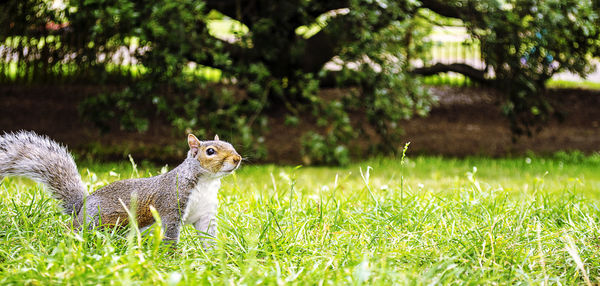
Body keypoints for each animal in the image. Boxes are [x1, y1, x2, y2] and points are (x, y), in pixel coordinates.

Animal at [0, 131, 241, 245]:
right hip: (95, 221)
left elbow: (208, 236)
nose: (237, 159)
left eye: (231, 145)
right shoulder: (171, 205)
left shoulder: (205, 214)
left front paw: (214, 256)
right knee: (75, 230)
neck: (206, 182)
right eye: (210, 151)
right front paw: (173, 258)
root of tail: (81, 207)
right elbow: (171, 235)